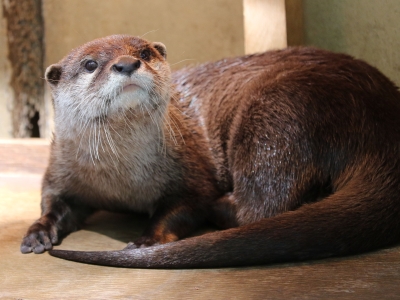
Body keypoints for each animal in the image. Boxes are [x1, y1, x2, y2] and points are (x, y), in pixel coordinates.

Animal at [20, 34, 400, 268]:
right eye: (89, 64)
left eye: (144, 52)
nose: (127, 64)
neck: (120, 182)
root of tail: (382, 114)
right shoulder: (60, 171)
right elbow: (53, 203)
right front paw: (37, 233)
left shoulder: (190, 170)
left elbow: (186, 205)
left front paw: (147, 241)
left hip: (276, 112)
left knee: (261, 204)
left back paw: (223, 206)